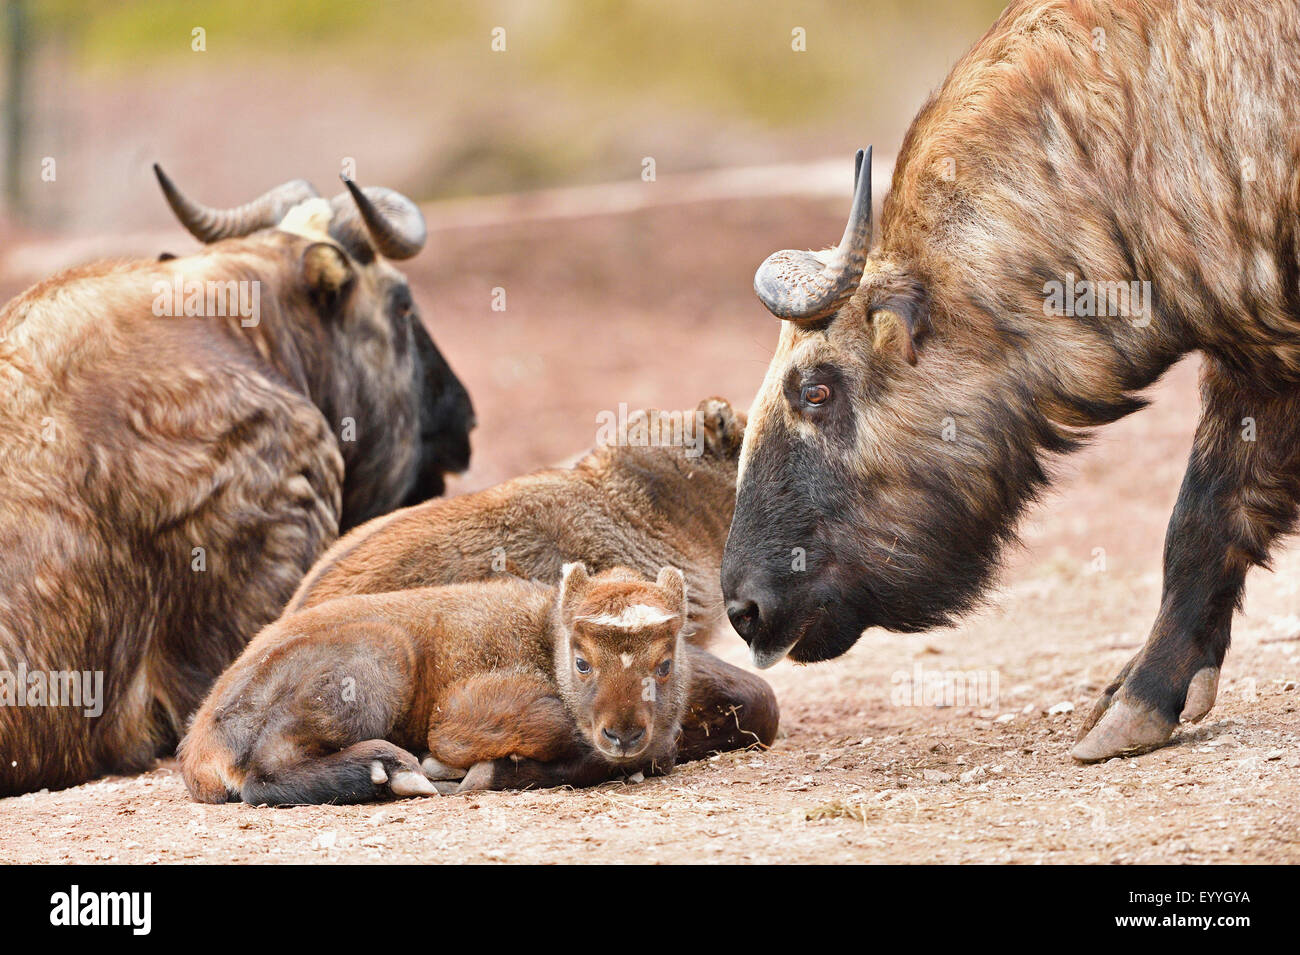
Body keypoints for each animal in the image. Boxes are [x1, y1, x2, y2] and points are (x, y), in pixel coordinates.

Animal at [183, 563, 743, 805]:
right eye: (582, 661)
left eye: (664, 662)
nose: (622, 732)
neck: (544, 636)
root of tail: (200, 747)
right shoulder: (457, 713)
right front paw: (471, 771)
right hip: (383, 655)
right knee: (262, 775)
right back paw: (391, 772)